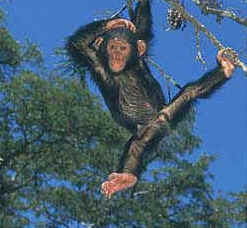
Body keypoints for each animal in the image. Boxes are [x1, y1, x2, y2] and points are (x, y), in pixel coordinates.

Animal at [65, 0, 235, 199]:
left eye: (123, 48)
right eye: (112, 48)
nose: (116, 56)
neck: (125, 69)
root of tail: (162, 125)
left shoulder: (140, 54)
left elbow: (142, 27)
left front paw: (123, 21)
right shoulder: (94, 60)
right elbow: (78, 44)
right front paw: (116, 23)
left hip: (166, 114)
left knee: (190, 92)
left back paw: (225, 68)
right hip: (147, 129)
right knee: (136, 146)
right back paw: (126, 179)